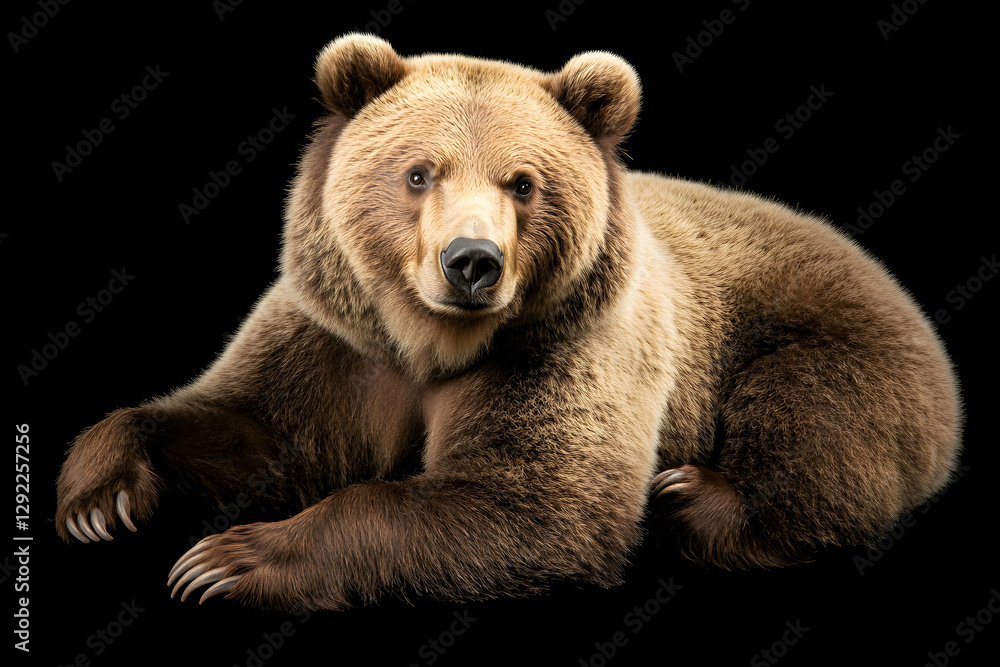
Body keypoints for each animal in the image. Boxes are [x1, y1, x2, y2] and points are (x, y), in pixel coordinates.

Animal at [55, 34, 962, 610]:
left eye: (523, 182)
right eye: (418, 171)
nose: (472, 261)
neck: (430, 341)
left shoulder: (565, 347)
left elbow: (530, 503)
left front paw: (229, 558)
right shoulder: (337, 344)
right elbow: (254, 424)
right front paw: (99, 495)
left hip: (828, 341)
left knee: (817, 426)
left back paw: (692, 495)